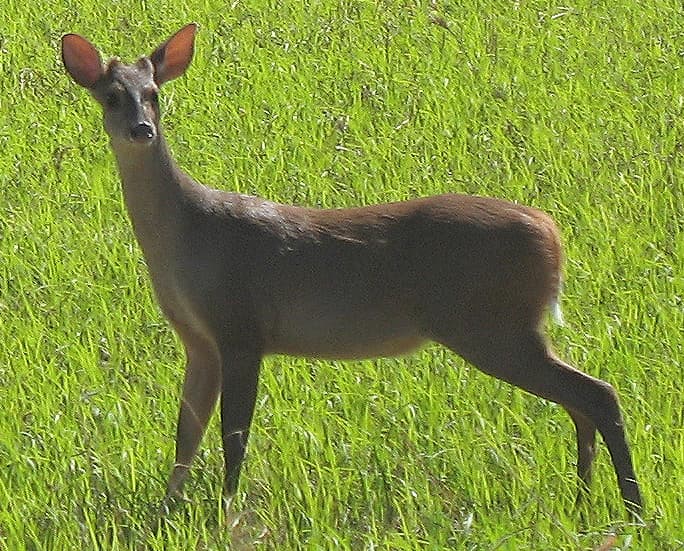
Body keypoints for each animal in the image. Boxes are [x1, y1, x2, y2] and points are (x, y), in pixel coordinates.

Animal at [60, 23, 642, 517]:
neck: (187, 237)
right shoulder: (198, 339)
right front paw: (167, 509)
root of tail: (552, 233)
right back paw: (585, 501)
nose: (141, 129)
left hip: (492, 324)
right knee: (580, 401)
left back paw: (631, 508)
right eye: (111, 96)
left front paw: (227, 511)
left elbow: (233, 435)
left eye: (154, 93)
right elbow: (187, 432)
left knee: (598, 394)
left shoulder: (241, 324)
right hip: (508, 327)